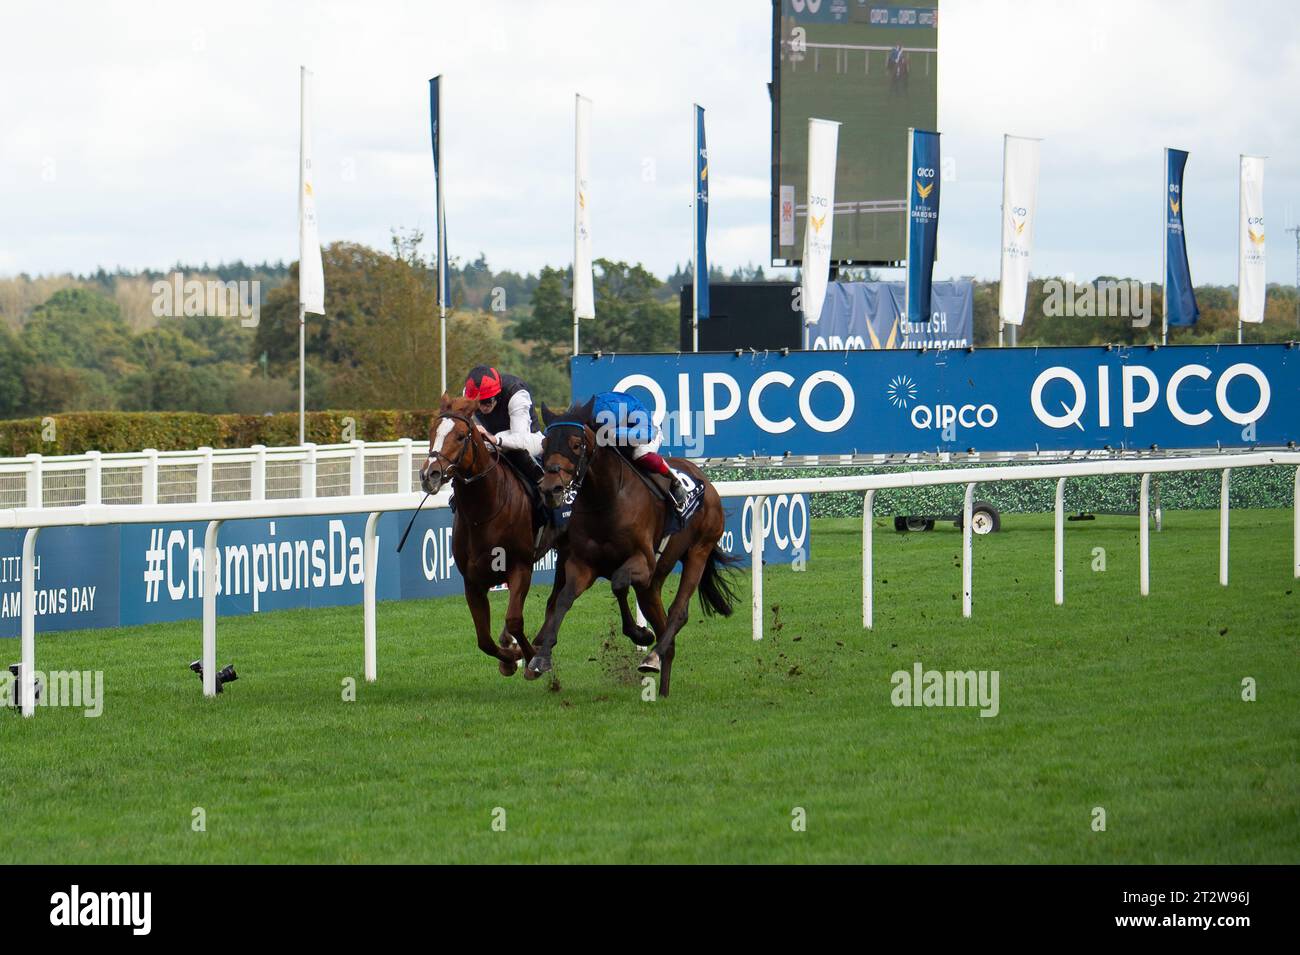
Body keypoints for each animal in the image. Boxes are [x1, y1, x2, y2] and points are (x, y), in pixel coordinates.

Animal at [416, 394, 559, 680]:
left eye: (461, 436)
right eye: (432, 432)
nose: (429, 475)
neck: (484, 511)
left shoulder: (520, 567)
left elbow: (514, 620)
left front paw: (531, 662)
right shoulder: (472, 581)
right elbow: (484, 640)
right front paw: (510, 659)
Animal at [522, 394, 738, 696]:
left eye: (576, 444)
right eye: (544, 445)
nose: (550, 488)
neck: (605, 499)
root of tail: (705, 480)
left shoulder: (643, 562)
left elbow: (618, 582)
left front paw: (639, 634)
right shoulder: (582, 563)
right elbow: (564, 599)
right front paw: (541, 657)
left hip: (699, 551)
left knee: (678, 613)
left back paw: (652, 657)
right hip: (654, 581)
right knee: (662, 621)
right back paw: (663, 686)